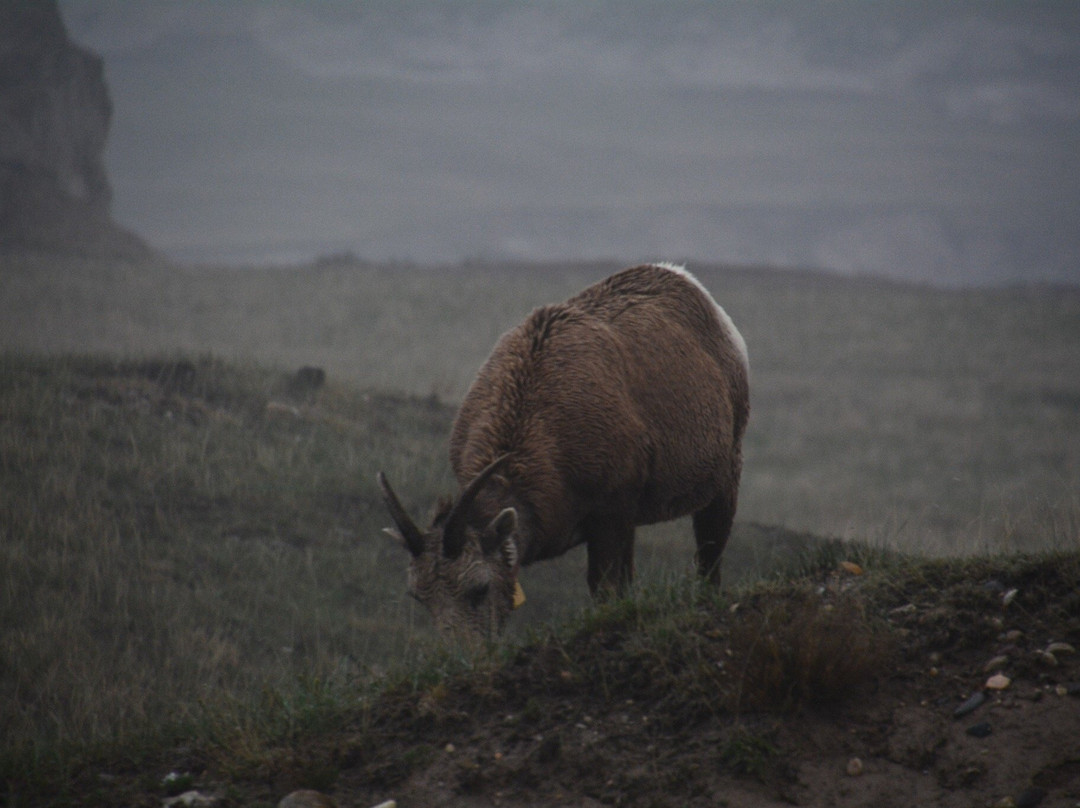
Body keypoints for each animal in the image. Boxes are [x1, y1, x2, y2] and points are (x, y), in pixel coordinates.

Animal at [380, 263, 751, 643]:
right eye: (420, 597)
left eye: (479, 588)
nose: (467, 654)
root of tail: (684, 278)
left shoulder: (610, 514)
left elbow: (605, 587)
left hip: (727, 471)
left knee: (710, 552)